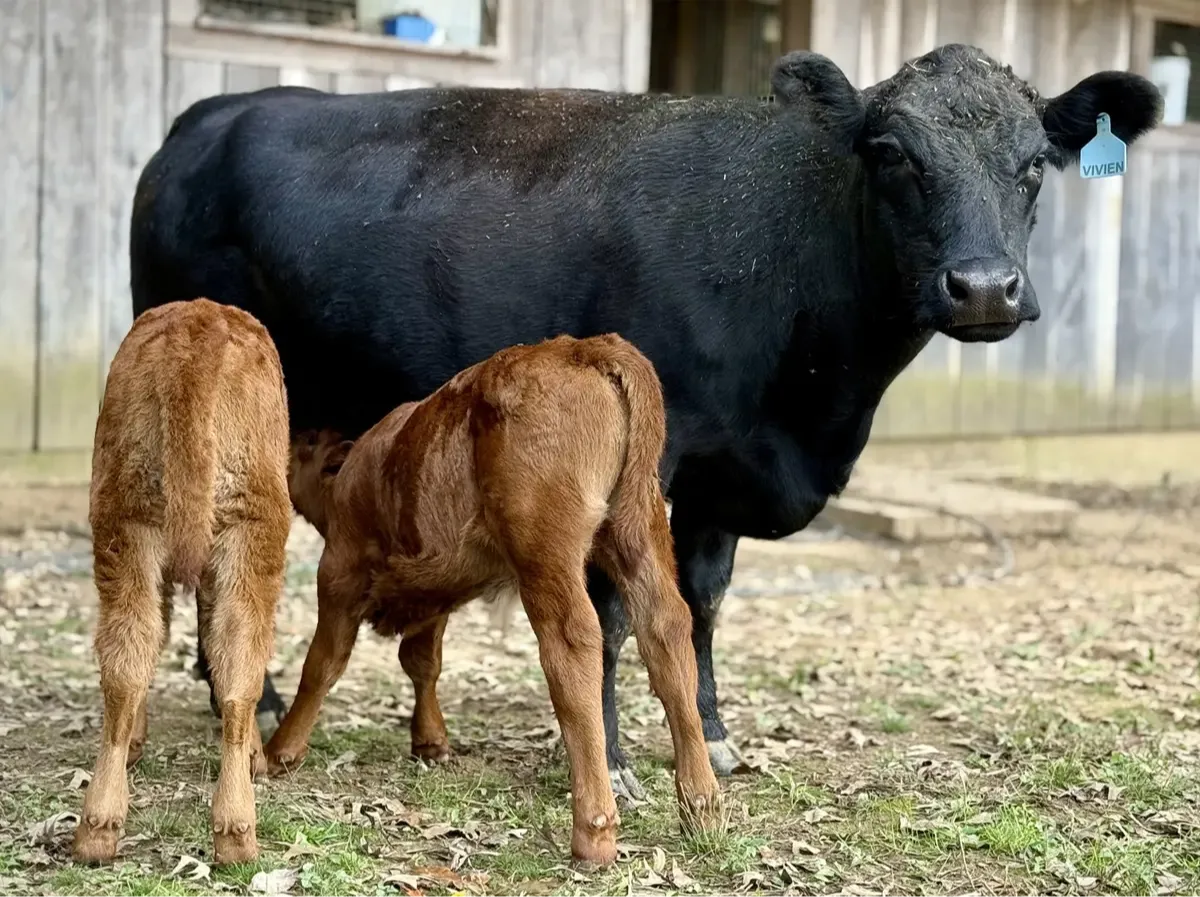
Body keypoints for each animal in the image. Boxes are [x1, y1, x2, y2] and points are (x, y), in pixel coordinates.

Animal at [128, 43, 1162, 799]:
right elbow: (618, 609)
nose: (984, 287)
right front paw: (614, 761)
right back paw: (253, 692)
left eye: (1034, 166)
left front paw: (712, 733)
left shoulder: (724, 471)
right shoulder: (637, 466)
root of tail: (213, 113)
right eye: (894, 155)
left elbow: (702, 602)